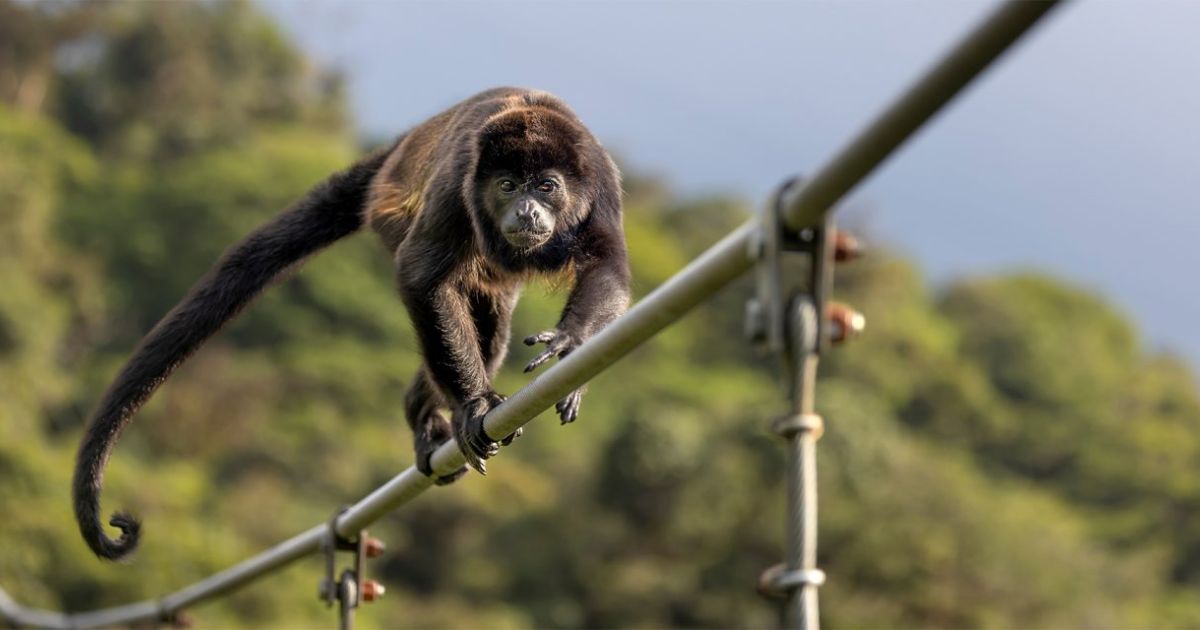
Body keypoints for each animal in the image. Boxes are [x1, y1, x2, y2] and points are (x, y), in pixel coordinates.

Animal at [72, 87, 632, 561]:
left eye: (547, 186)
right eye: (507, 185)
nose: (526, 210)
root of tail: (397, 148)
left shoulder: (600, 179)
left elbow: (608, 266)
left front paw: (571, 343)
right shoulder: (459, 182)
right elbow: (421, 275)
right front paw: (473, 403)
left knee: (491, 331)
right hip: (392, 212)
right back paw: (426, 418)